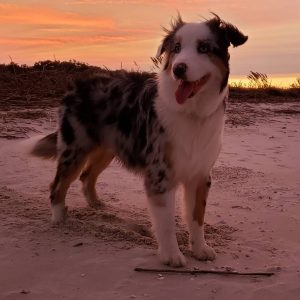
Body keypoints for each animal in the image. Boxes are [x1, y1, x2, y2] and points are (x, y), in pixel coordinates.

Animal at [30, 14, 247, 268]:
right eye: (176, 48)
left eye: (204, 48)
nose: (178, 69)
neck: (192, 112)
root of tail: (76, 85)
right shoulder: (160, 174)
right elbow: (166, 223)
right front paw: (171, 255)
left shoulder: (200, 174)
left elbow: (197, 217)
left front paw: (200, 249)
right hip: (75, 149)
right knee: (57, 185)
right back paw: (59, 218)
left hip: (107, 148)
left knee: (86, 176)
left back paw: (96, 204)